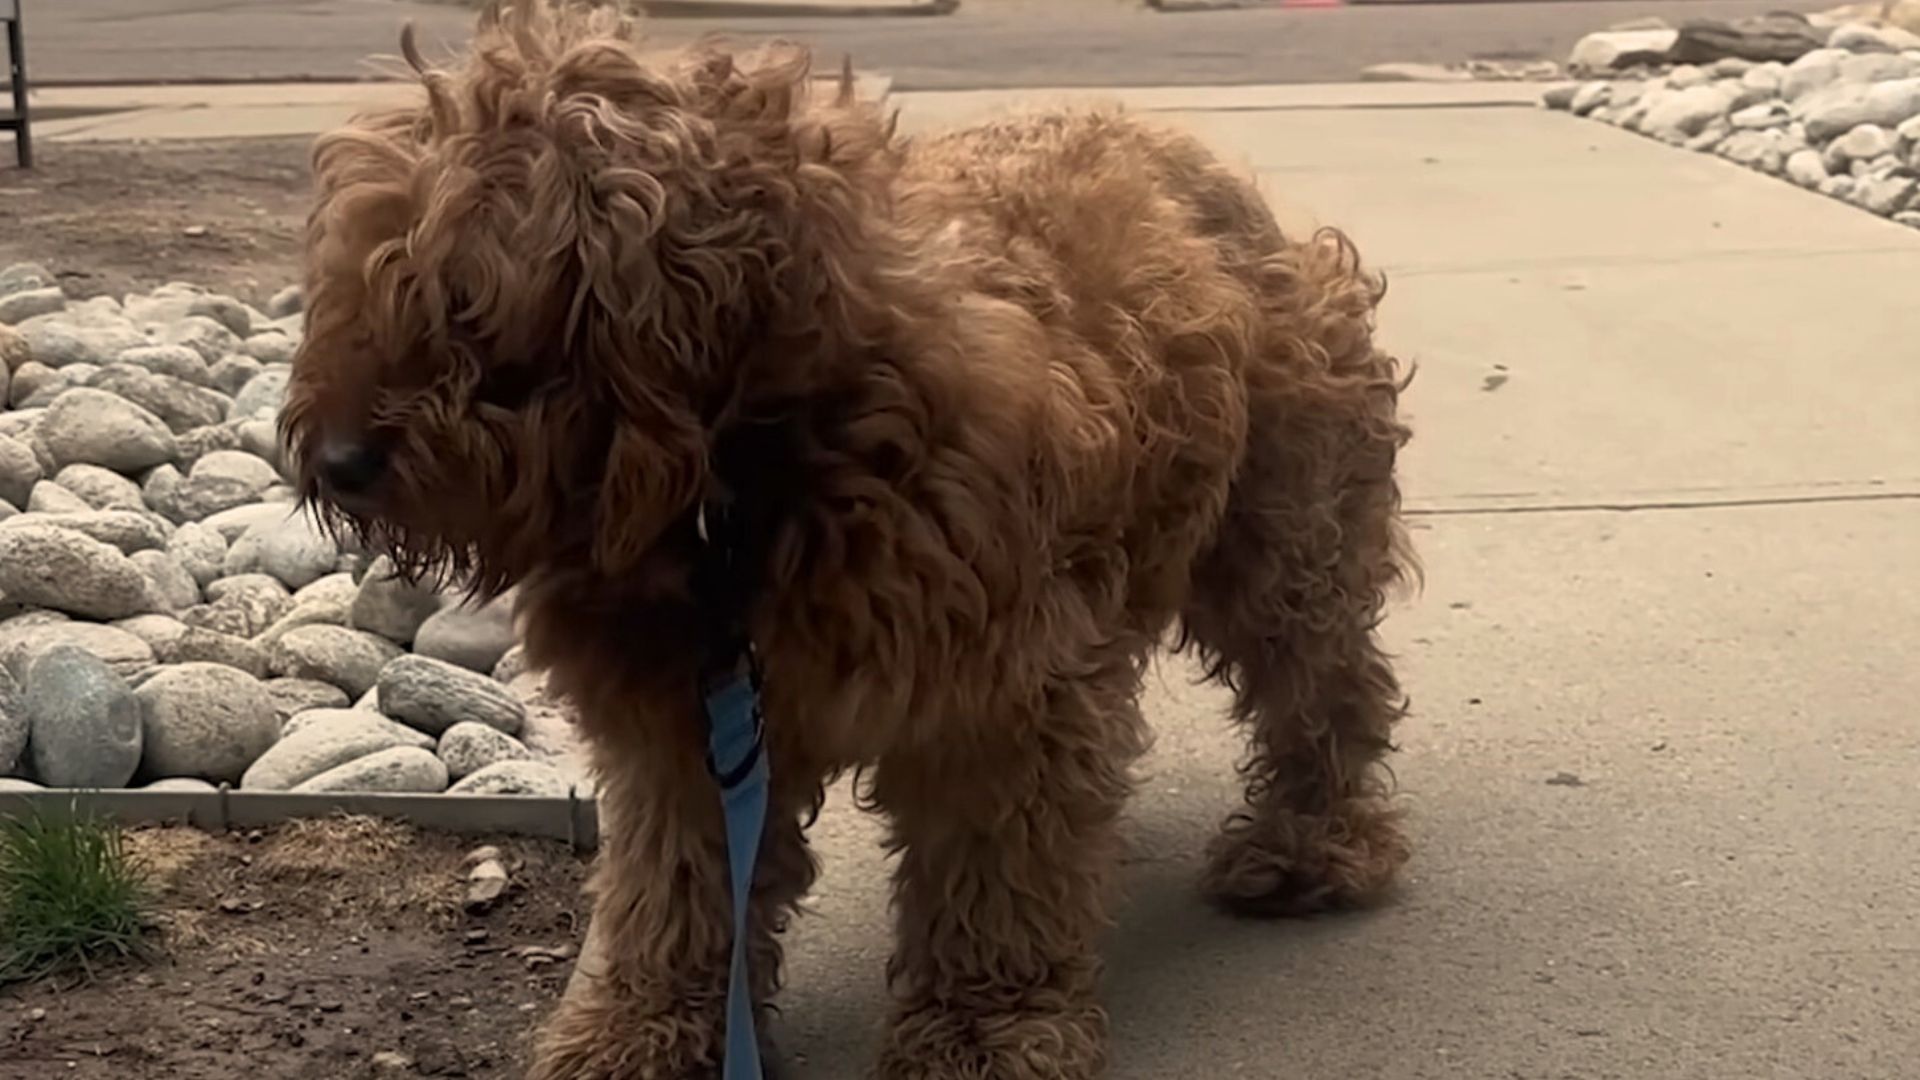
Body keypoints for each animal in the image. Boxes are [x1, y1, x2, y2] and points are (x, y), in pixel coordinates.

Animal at [280, 4, 1413, 1068]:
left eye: (464, 302)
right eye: (357, 280)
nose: (333, 459)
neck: (742, 490)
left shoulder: (996, 695)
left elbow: (992, 875)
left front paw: (981, 1028)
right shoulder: (682, 725)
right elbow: (677, 887)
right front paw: (650, 1027)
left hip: (1281, 537)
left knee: (1324, 685)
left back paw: (1313, 846)